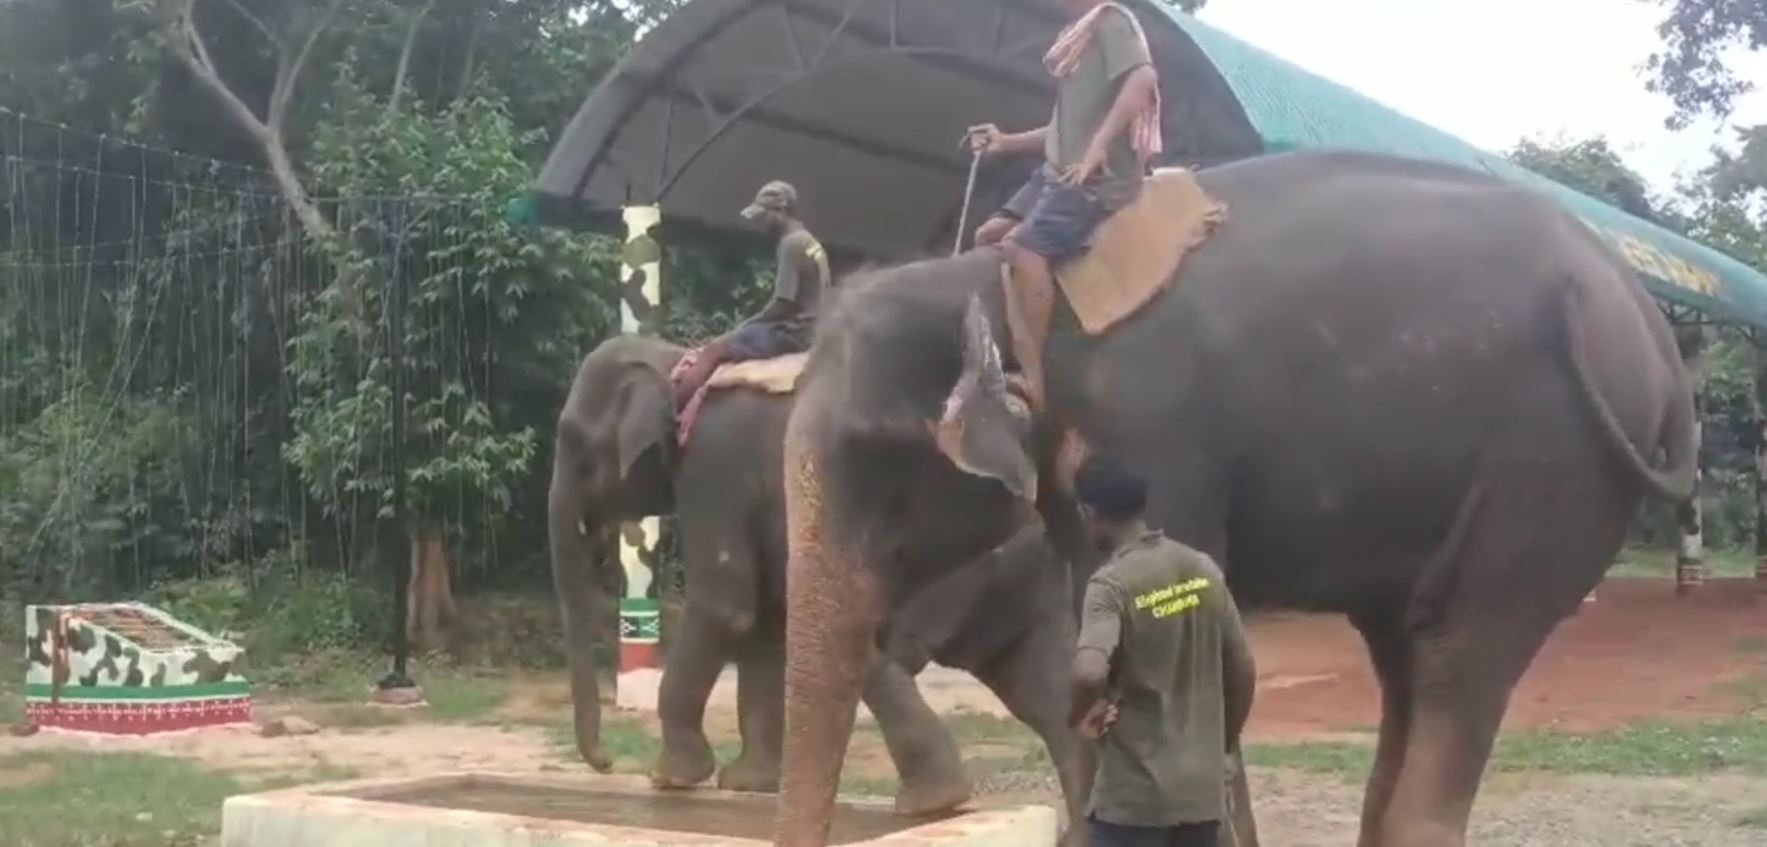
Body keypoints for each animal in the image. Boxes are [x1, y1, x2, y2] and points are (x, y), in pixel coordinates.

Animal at [773, 152, 1696, 847]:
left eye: (871, 452)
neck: (1001, 277)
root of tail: (1654, 330)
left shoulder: (1156, 431)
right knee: (1406, 648)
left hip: (1552, 464)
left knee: (1459, 644)